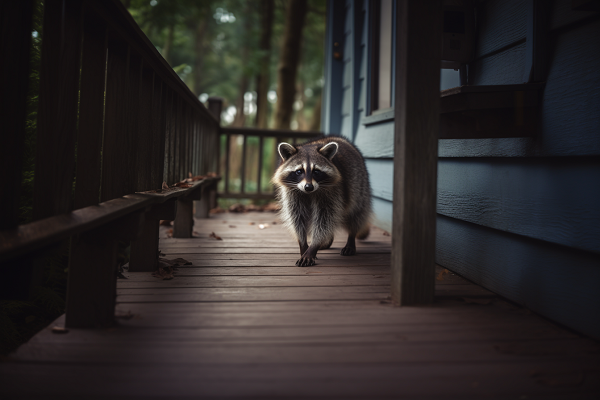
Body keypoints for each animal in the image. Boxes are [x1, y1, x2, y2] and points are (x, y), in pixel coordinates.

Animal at [272, 136, 370, 268]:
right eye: (299, 171)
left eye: (316, 171)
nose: (308, 187)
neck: (309, 193)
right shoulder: (292, 194)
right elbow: (297, 219)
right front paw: (303, 246)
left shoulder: (332, 192)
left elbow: (324, 219)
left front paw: (313, 246)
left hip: (359, 186)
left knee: (356, 213)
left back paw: (351, 237)